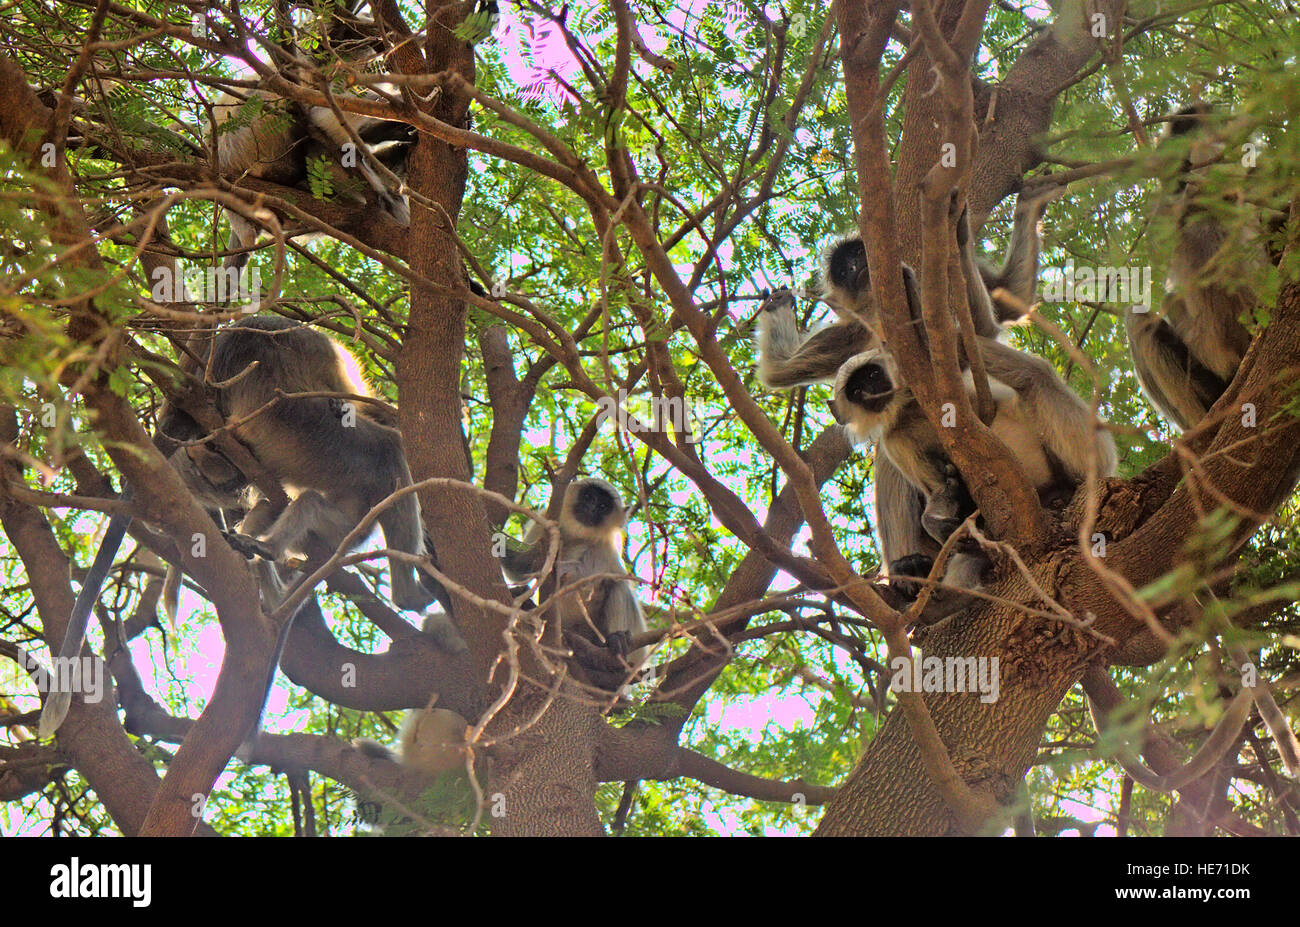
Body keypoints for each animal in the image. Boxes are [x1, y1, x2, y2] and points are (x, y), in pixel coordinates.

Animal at [501, 478, 655, 681]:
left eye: (603, 506)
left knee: (617, 586)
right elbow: (520, 569)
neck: (578, 537)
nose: (592, 507)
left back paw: (615, 649)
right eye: (589, 496)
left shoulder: (605, 547)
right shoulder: (545, 524)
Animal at [837, 335, 1123, 590]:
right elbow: (940, 487)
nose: (869, 391)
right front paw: (939, 520)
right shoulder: (895, 439)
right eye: (855, 391)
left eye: (872, 375)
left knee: (1032, 375)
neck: (910, 409)